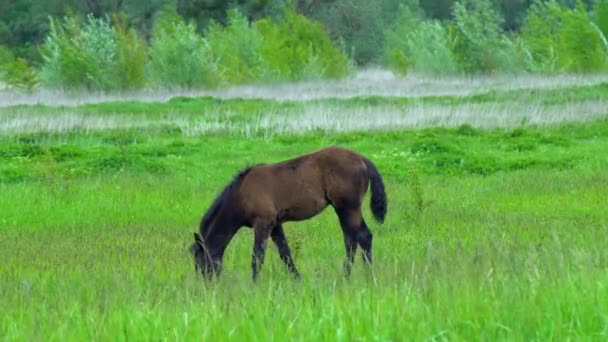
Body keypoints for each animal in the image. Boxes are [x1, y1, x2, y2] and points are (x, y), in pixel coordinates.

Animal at [190, 146, 388, 282]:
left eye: (199, 260)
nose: (206, 284)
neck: (241, 194)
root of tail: (362, 158)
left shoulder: (262, 223)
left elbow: (257, 257)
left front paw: (254, 285)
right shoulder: (275, 224)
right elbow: (285, 253)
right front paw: (297, 280)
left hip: (346, 208)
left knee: (356, 238)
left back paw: (352, 276)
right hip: (348, 209)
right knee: (360, 238)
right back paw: (362, 275)